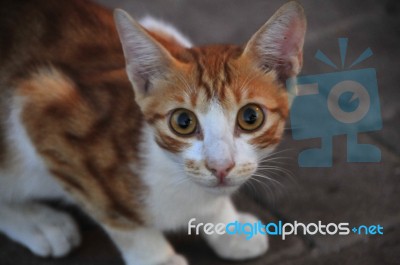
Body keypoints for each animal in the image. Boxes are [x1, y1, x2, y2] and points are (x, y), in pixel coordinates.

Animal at [0, 0, 306, 264]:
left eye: (250, 117)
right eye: (183, 121)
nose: (220, 166)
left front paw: (226, 227)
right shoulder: (40, 103)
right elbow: (119, 218)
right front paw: (157, 257)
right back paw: (40, 222)